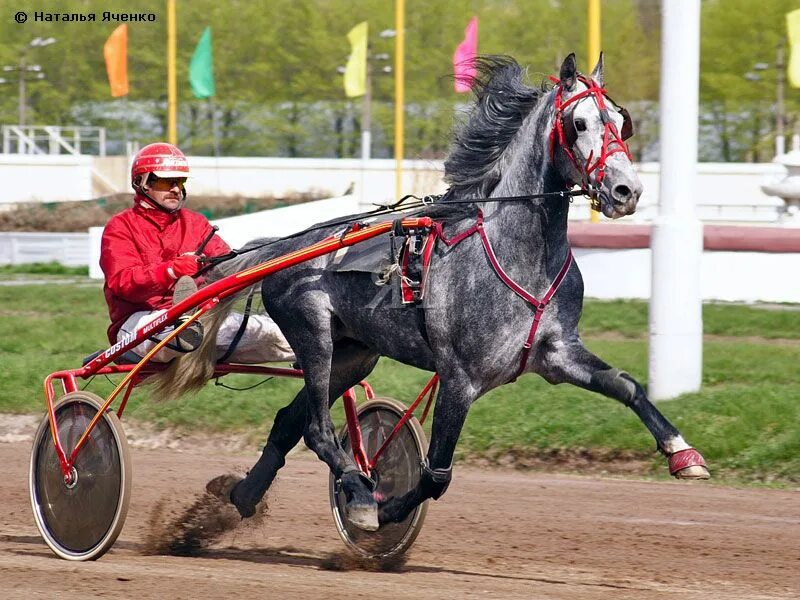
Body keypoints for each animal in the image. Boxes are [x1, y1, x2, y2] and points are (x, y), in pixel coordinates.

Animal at [159, 54, 708, 532]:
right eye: (579, 124)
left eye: (619, 120)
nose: (626, 191)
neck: (518, 254)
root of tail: (289, 245)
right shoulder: (460, 377)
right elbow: (437, 474)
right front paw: (385, 506)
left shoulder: (555, 353)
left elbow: (627, 385)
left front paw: (683, 454)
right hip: (313, 335)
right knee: (316, 427)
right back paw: (358, 490)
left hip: (354, 353)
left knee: (288, 420)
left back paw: (243, 495)